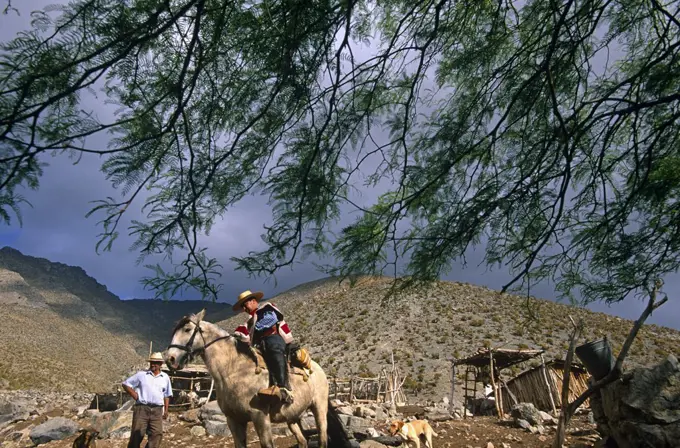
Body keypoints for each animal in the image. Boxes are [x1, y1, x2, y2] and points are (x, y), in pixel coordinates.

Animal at [166, 310, 328, 448]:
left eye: (187, 329)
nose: (170, 359)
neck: (233, 371)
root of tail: (317, 368)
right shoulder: (233, 419)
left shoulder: (260, 417)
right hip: (292, 417)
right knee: (302, 441)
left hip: (319, 408)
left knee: (322, 438)